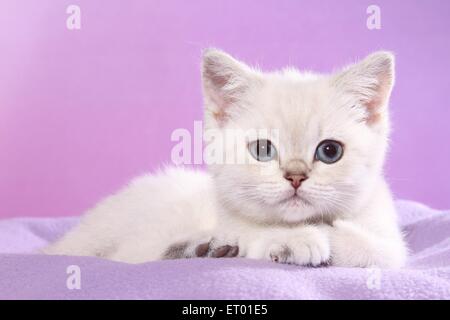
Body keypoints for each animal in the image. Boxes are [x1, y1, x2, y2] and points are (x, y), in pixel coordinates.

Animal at [44, 48, 408, 268]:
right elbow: (255, 232)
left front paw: (316, 233)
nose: (295, 176)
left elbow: (373, 250)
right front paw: (295, 239)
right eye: (263, 150)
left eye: (329, 152)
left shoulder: (391, 247)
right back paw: (201, 248)